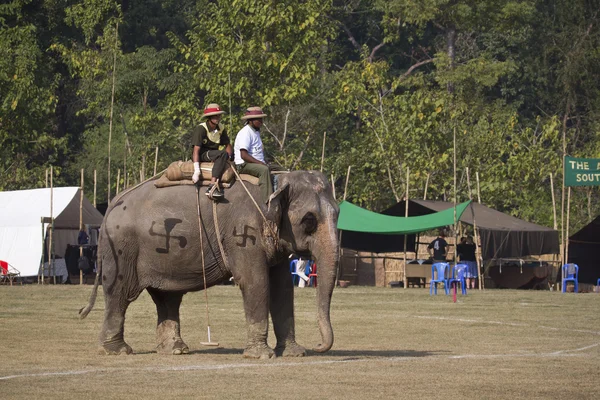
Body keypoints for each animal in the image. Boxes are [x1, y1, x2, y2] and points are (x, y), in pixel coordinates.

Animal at [79, 170, 340, 360]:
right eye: (309, 220)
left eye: (338, 214)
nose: (318, 345)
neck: (279, 180)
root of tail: (113, 202)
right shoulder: (243, 233)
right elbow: (255, 281)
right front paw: (261, 356)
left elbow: (283, 287)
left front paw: (294, 353)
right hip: (121, 249)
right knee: (119, 294)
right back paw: (117, 351)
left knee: (167, 297)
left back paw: (176, 350)